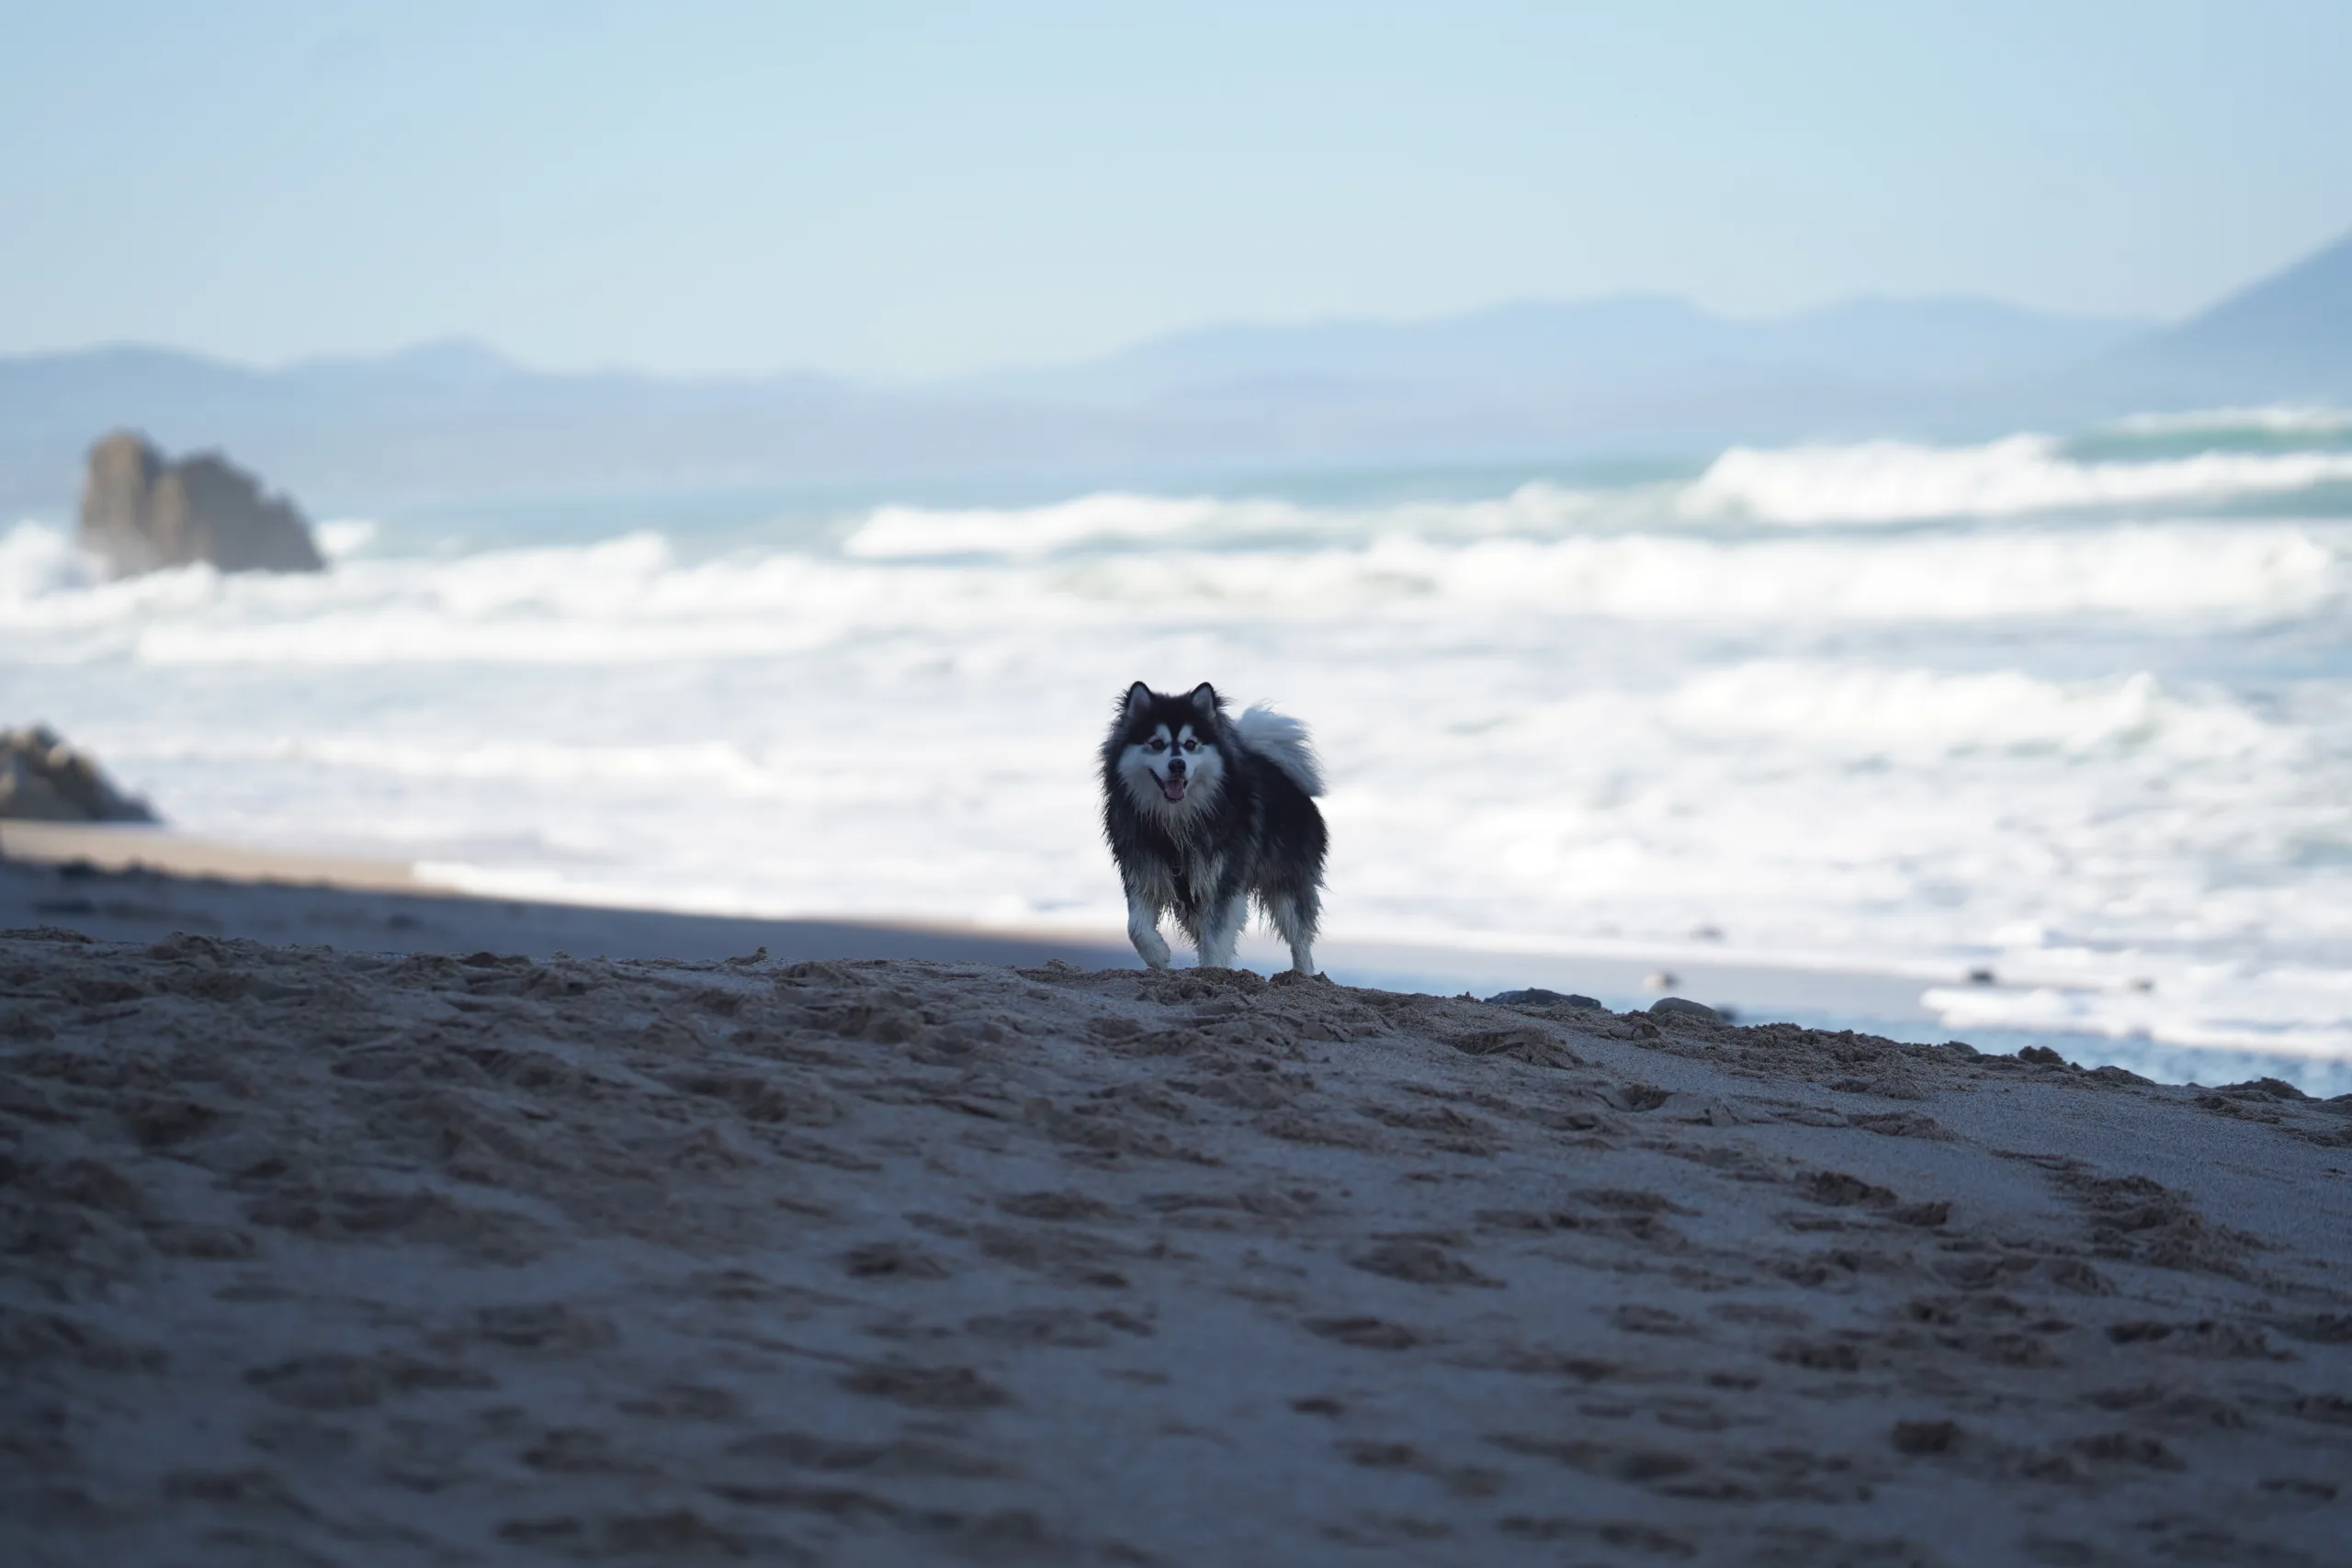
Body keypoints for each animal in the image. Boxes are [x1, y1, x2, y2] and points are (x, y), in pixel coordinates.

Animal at [1095, 682, 1326, 973]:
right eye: (1157, 744)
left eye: (1190, 744)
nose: (1177, 764)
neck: (1176, 823)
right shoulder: (1143, 869)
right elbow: (1136, 927)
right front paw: (1158, 955)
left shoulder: (1221, 880)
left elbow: (1216, 937)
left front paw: (1212, 969)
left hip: (1285, 881)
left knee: (1299, 936)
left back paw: (1303, 974)